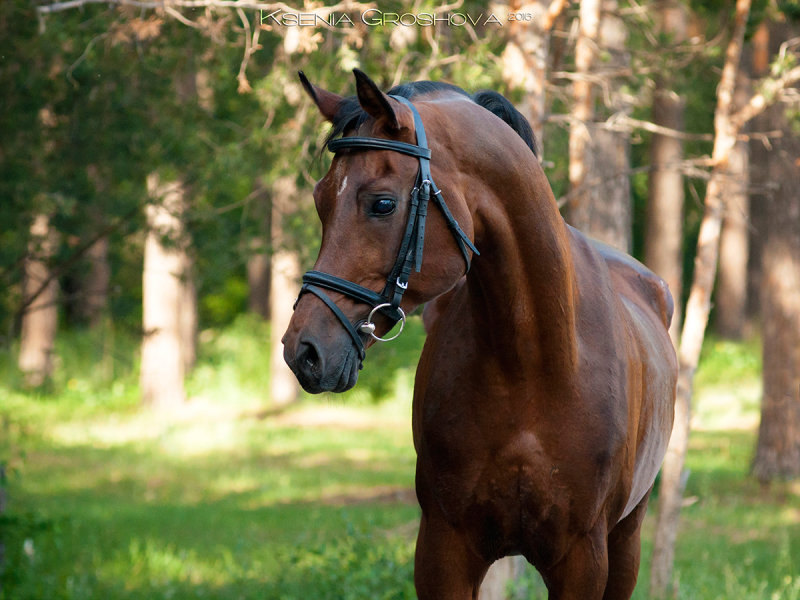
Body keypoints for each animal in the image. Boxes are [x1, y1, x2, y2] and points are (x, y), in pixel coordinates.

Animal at [282, 68, 676, 596]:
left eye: (382, 204)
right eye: (320, 200)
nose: (303, 350)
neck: (531, 362)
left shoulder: (583, 559)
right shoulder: (443, 550)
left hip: (627, 539)